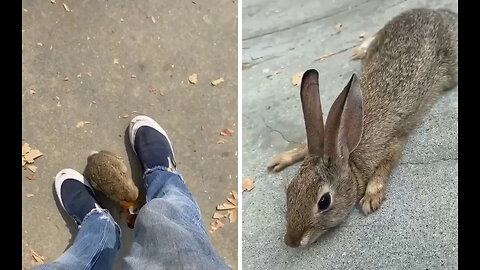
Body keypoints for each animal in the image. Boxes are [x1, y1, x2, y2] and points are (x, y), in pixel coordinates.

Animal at [268, 7, 460, 249]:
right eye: (290, 190)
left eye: (324, 201)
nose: (291, 241)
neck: (348, 153)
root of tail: (436, 12)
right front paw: (280, 160)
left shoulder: (391, 144)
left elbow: (385, 166)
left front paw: (370, 198)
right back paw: (359, 50)